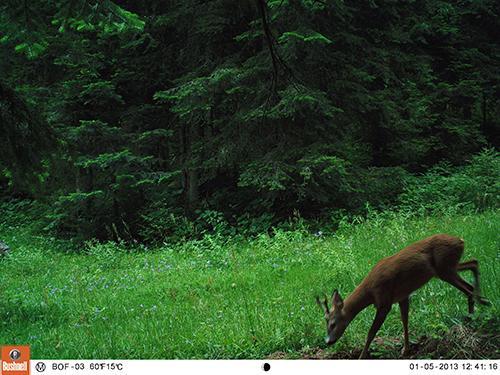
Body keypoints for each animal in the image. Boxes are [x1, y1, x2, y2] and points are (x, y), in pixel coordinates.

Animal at [318, 234, 490, 360]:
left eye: (333, 323)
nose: (328, 341)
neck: (369, 291)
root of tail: (460, 240)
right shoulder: (402, 297)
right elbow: (405, 321)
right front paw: (406, 349)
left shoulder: (384, 302)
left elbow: (371, 332)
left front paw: (361, 357)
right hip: (448, 267)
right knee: (473, 265)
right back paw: (478, 308)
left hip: (445, 269)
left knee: (468, 288)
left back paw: (476, 313)